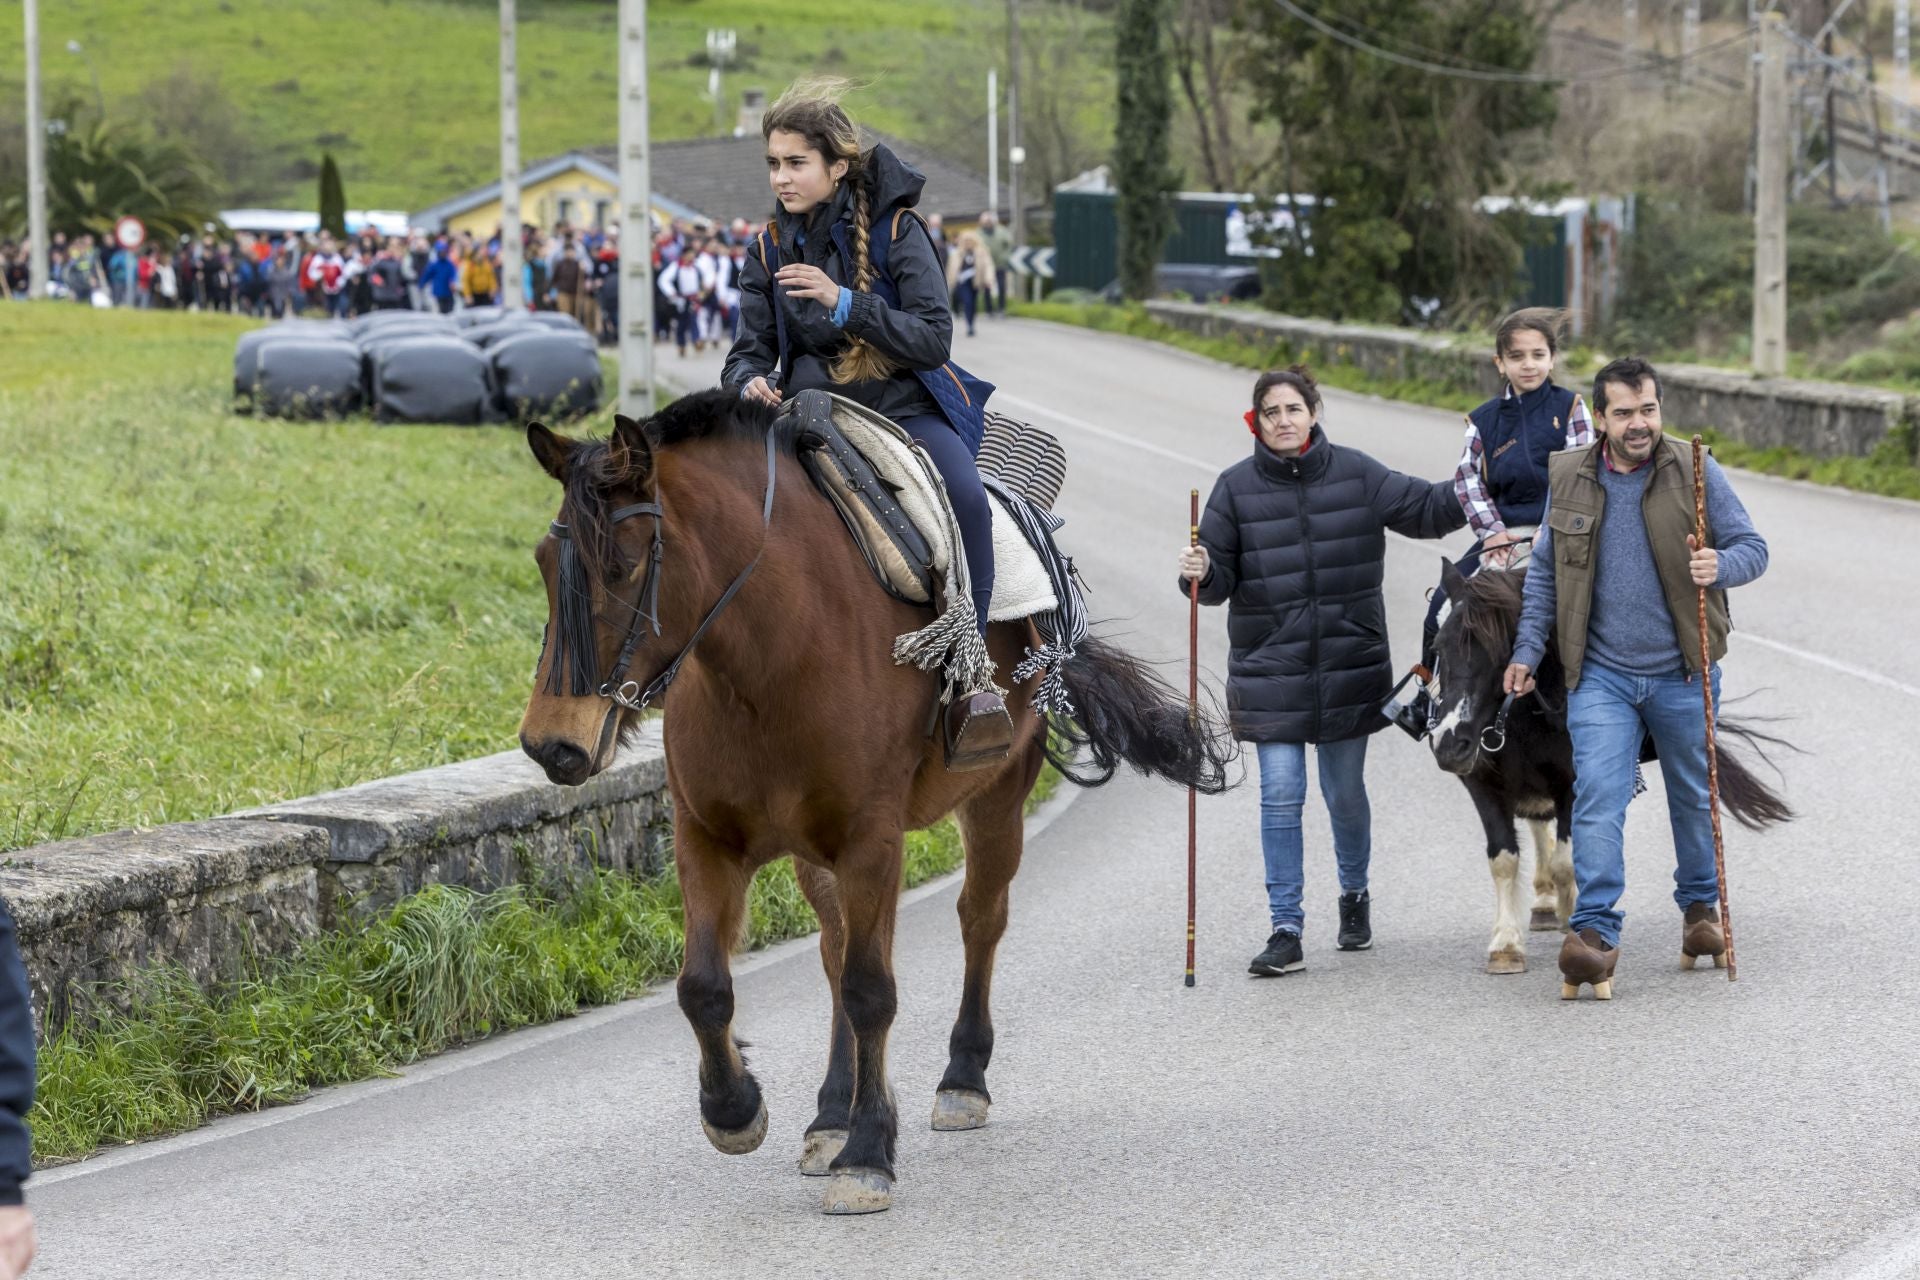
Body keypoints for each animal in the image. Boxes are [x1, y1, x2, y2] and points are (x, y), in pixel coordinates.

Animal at [514, 395, 1228, 1220]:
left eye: (624, 565)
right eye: (544, 561)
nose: (552, 744)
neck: (770, 660)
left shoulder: (871, 841)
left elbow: (871, 989)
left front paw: (867, 1153)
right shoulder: (708, 838)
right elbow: (705, 987)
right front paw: (736, 1109)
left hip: (994, 802)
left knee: (976, 922)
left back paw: (960, 1079)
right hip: (815, 852)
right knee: (834, 950)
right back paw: (829, 1112)